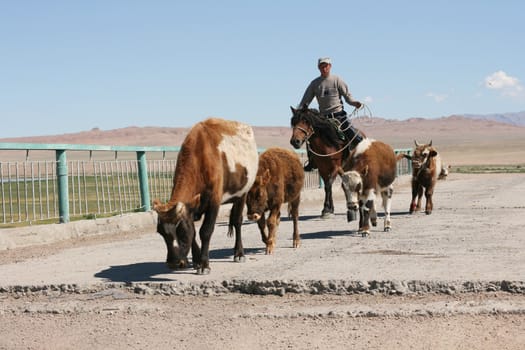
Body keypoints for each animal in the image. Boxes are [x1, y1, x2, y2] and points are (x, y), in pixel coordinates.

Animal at [151, 117, 258, 274]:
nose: (173, 263)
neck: (199, 157)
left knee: (237, 221)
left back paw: (239, 253)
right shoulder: (192, 208)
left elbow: (205, 231)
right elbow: (194, 232)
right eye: (161, 233)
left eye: (181, 231)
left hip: (242, 194)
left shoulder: (214, 202)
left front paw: (204, 264)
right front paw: (196, 261)